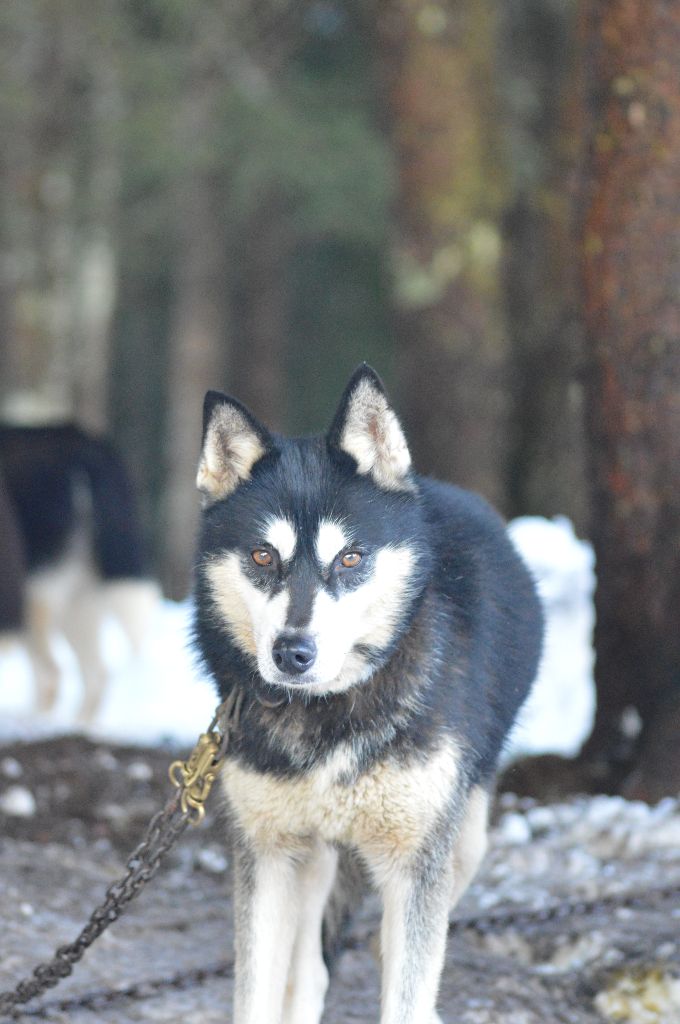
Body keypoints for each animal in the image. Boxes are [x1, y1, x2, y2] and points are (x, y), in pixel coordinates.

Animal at [191, 368, 540, 1024]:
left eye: (350, 557)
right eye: (262, 556)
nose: (293, 652)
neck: (330, 713)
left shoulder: (415, 862)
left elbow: (406, 988)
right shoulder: (268, 855)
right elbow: (258, 993)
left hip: (462, 841)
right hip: (312, 856)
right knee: (309, 969)